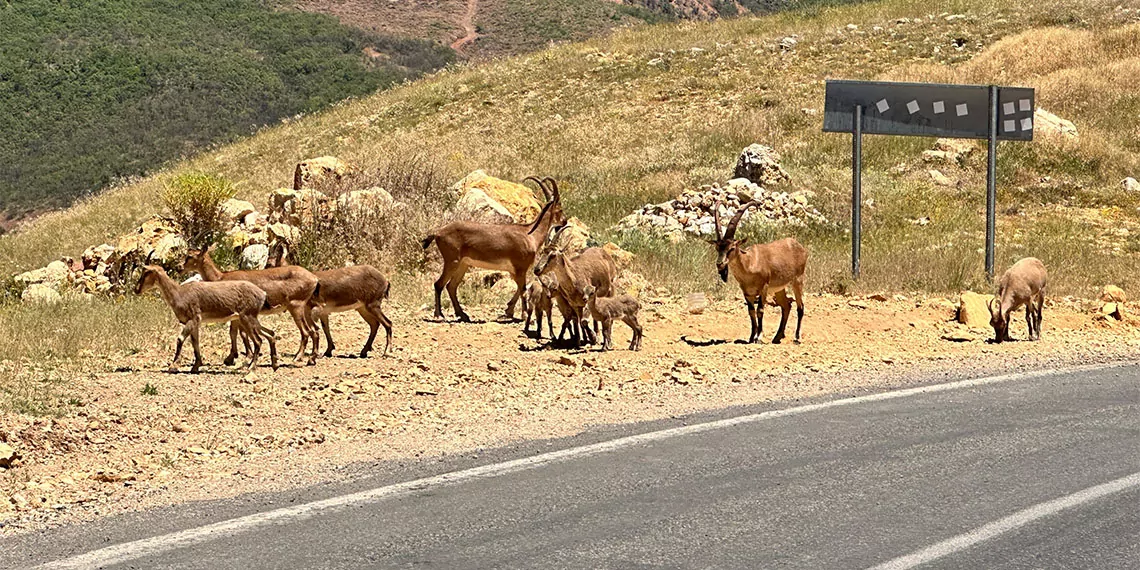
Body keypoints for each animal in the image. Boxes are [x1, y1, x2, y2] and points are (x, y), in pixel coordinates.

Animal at [135, 263, 278, 371]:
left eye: (146, 273)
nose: (136, 290)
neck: (180, 293)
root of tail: (262, 294)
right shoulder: (195, 323)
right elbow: (195, 342)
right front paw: (196, 366)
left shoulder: (193, 318)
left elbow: (180, 339)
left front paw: (173, 366)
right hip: (250, 319)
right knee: (270, 334)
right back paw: (274, 364)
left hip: (247, 318)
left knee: (259, 341)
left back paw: (252, 367)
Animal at [184, 248, 321, 364]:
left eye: (189, 256)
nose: (181, 267)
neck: (220, 278)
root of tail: (314, 278)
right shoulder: (236, 316)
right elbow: (235, 333)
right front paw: (234, 356)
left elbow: (239, 333)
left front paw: (238, 357)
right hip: (304, 308)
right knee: (314, 331)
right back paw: (312, 358)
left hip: (296, 306)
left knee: (306, 332)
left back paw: (298, 357)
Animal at [421, 175, 567, 323]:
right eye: (560, 209)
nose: (565, 221)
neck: (530, 235)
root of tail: (437, 233)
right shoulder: (520, 268)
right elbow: (523, 290)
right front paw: (525, 316)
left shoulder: (514, 271)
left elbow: (520, 289)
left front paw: (509, 311)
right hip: (452, 261)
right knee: (439, 284)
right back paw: (439, 315)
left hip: (463, 264)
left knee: (451, 286)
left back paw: (463, 315)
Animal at [711, 202, 811, 344]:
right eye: (717, 248)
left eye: (732, 248)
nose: (720, 264)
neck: (750, 263)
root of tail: (800, 247)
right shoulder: (747, 292)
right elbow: (751, 312)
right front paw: (751, 337)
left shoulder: (764, 287)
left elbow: (760, 310)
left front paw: (759, 337)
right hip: (779, 288)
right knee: (786, 306)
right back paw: (777, 337)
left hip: (797, 280)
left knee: (800, 306)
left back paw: (797, 337)